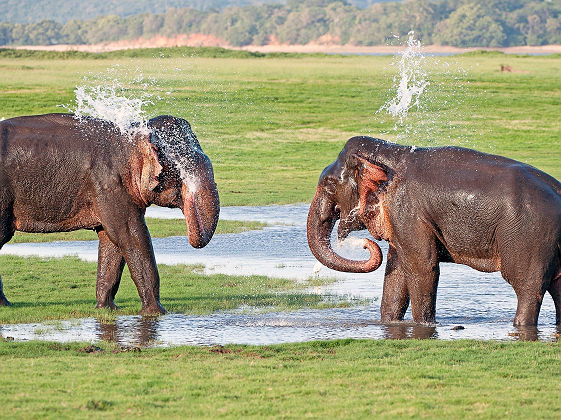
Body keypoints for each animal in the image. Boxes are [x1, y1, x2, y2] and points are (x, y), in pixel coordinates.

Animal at [0, 112, 219, 316]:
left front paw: (106, 308)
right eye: (185, 171)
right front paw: (156, 313)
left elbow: (111, 240)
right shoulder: (109, 184)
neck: (131, 139)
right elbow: (130, 236)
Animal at [306, 136, 560, 326]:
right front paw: (388, 323)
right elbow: (397, 269)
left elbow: (423, 266)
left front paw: (424, 325)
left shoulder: (407, 211)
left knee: (527, 287)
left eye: (329, 183)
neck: (391, 153)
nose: (366, 244)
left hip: (530, 236)